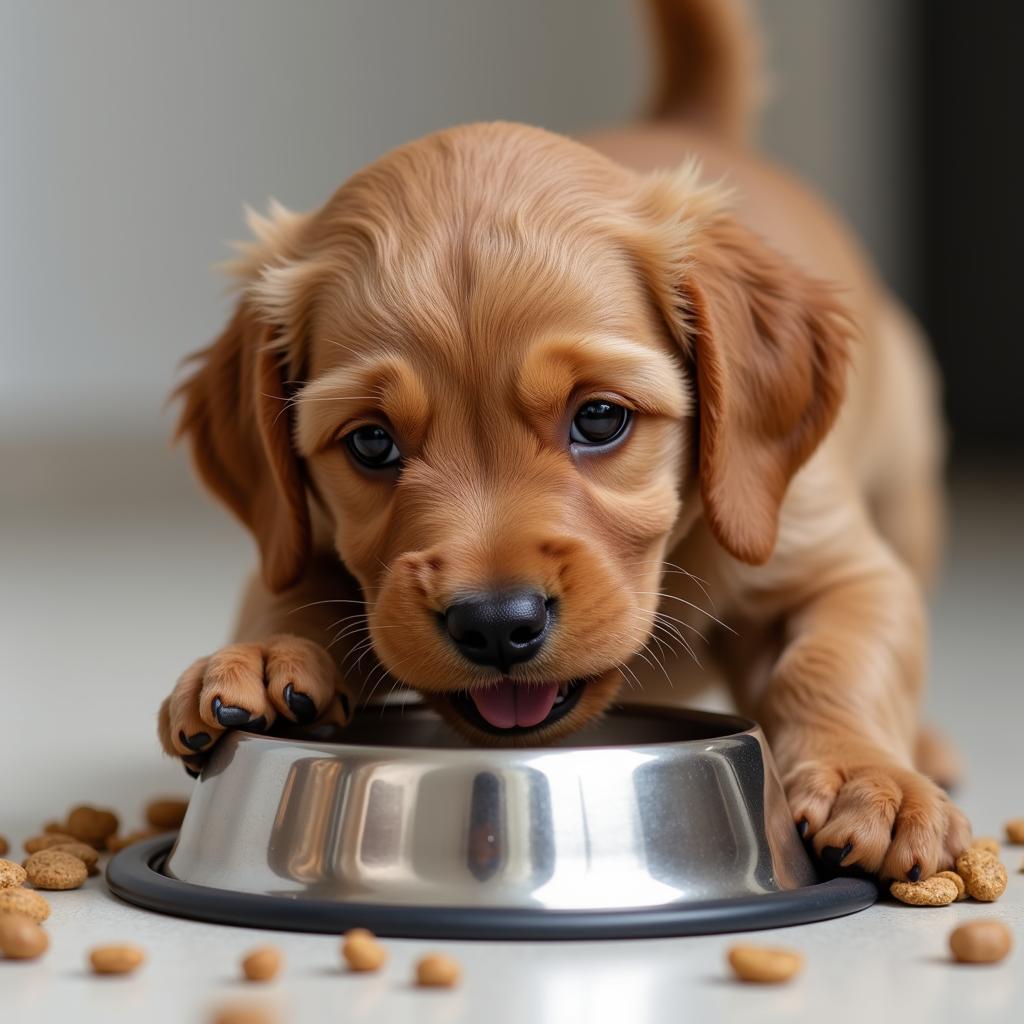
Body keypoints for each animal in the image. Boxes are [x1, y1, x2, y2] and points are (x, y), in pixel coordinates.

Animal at [157, 0, 966, 880]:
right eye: (370, 443)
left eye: (600, 419)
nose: (494, 625)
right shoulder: (296, 534)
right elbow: (285, 589)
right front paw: (265, 656)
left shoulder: (830, 555)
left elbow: (839, 658)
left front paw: (866, 777)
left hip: (907, 484)